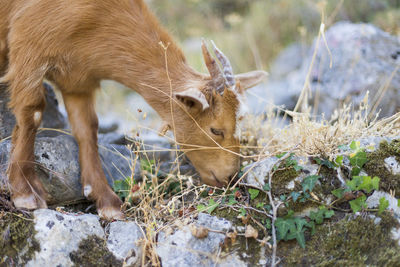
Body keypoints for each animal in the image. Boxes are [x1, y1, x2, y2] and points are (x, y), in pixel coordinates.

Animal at [0, 0, 268, 221]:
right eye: (216, 129)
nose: (231, 177)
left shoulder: (78, 81)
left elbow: (87, 128)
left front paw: (106, 200)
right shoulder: (28, 49)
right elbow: (32, 113)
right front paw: (24, 193)